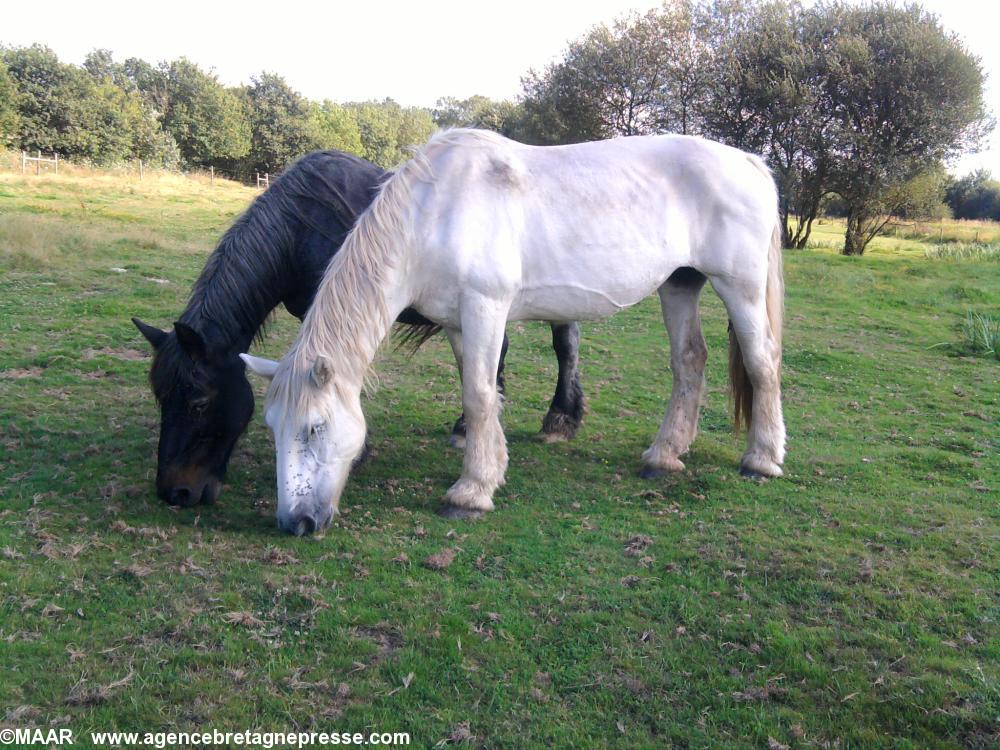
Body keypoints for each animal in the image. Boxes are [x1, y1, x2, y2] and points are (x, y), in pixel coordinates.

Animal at [133, 150, 584, 508]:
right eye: (161, 398)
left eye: (198, 403)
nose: (175, 493)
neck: (300, 226)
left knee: (565, 347)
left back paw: (560, 420)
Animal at [244, 132, 788, 536]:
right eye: (271, 427)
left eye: (315, 427)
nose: (295, 523)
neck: (436, 212)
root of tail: (750, 162)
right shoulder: (457, 323)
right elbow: (477, 393)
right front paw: (488, 467)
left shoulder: (485, 307)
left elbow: (481, 394)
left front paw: (471, 492)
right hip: (679, 284)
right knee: (689, 360)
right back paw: (664, 455)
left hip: (738, 287)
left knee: (762, 362)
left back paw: (761, 460)